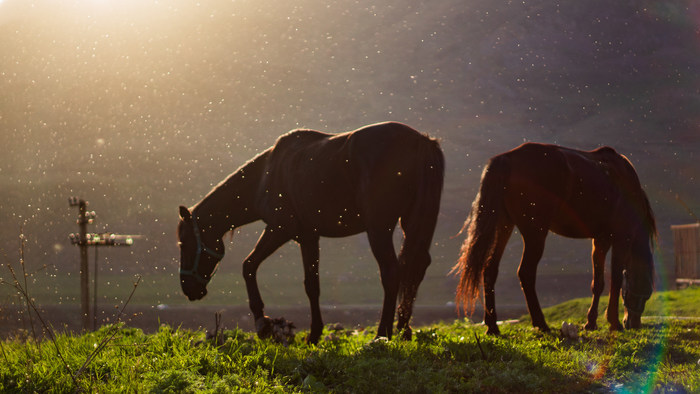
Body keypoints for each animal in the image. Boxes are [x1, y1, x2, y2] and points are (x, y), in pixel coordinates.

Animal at [178, 121, 446, 344]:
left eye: (185, 244)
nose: (188, 289)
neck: (266, 175)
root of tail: (421, 140)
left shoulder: (280, 228)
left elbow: (249, 266)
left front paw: (263, 324)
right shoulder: (308, 237)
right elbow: (312, 285)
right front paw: (315, 333)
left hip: (379, 229)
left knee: (392, 272)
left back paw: (382, 334)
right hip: (411, 224)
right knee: (415, 267)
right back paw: (403, 329)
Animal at [454, 143, 656, 334]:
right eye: (646, 294)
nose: (634, 323)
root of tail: (507, 158)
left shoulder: (600, 241)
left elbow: (598, 283)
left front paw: (591, 323)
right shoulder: (622, 239)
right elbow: (616, 280)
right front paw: (614, 322)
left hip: (504, 226)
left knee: (490, 270)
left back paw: (492, 326)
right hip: (535, 233)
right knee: (525, 273)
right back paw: (540, 323)